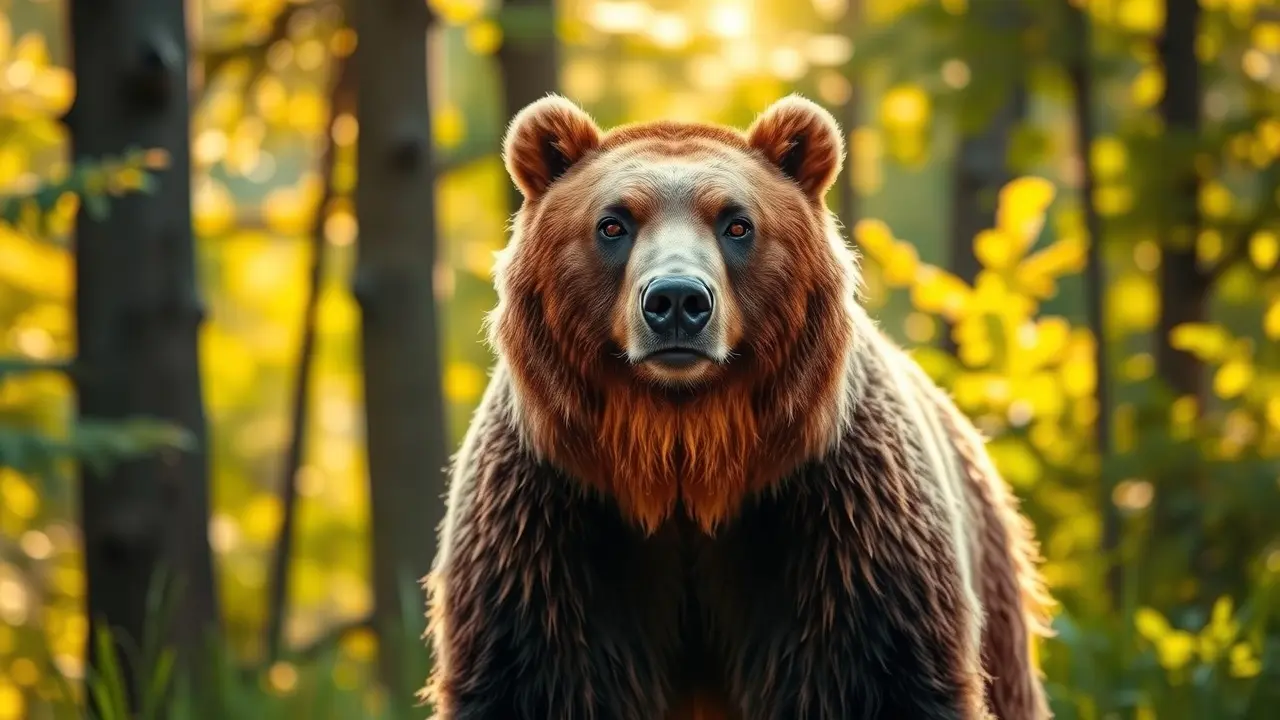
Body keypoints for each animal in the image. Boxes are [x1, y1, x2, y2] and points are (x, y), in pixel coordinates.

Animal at [422, 94, 1054, 720]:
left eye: (737, 223)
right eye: (612, 223)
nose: (677, 300)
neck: (686, 456)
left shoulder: (840, 523)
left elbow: (881, 676)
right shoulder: (550, 526)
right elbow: (533, 676)